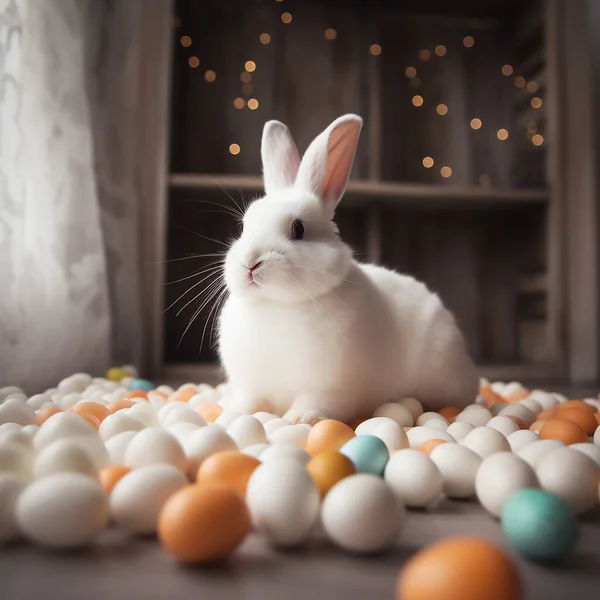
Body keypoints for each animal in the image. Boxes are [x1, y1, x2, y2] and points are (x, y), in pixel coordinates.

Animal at [218, 111, 480, 422]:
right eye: (243, 227)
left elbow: (315, 403)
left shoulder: (331, 388)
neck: (278, 304)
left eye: (298, 229)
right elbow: (249, 401)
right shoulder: (251, 384)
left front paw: (300, 419)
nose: (250, 262)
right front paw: (230, 414)